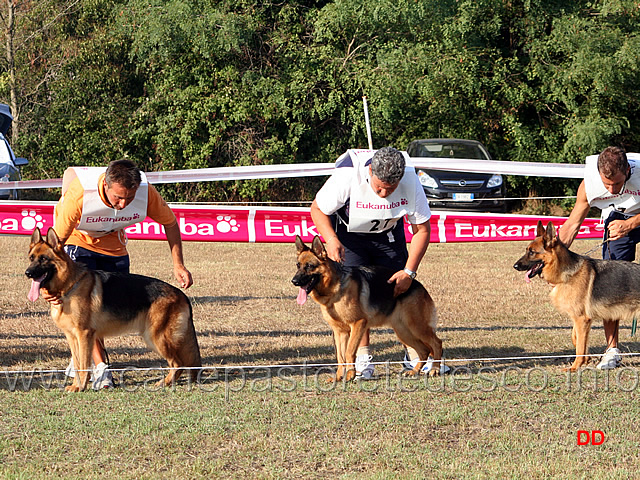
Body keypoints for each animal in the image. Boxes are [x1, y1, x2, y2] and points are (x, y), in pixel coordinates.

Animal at [25, 228, 200, 390]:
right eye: (31, 258)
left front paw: (80, 387)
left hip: (155, 337)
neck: (68, 286)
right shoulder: (72, 337)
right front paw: (76, 386)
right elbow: (78, 364)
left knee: (178, 363)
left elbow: (84, 365)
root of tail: (181, 294)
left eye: (43, 259)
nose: (27, 273)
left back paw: (164, 383)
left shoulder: (84, 335)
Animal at [292, 236, 442, 382]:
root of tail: (418, 285)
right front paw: (339, 377)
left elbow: (349, 352)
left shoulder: (358, 323)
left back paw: (435, 369)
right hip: (403, 331)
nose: (294, 281)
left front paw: (350, 375)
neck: (334, 287)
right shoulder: (340, 332)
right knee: (423, 350)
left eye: (309, 266)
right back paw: (414, 371)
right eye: (298, 265)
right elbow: (340, 357)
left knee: (436, 343)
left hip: (416, 327)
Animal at [516, 221, 640, 372]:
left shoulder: (582, 319)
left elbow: (580, 347)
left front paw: (575, 367)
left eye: (532, 252)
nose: (515, 266)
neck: (566, 273)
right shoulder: (579, 318)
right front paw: (586, 359)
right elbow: (576, 338)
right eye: (526, 250)